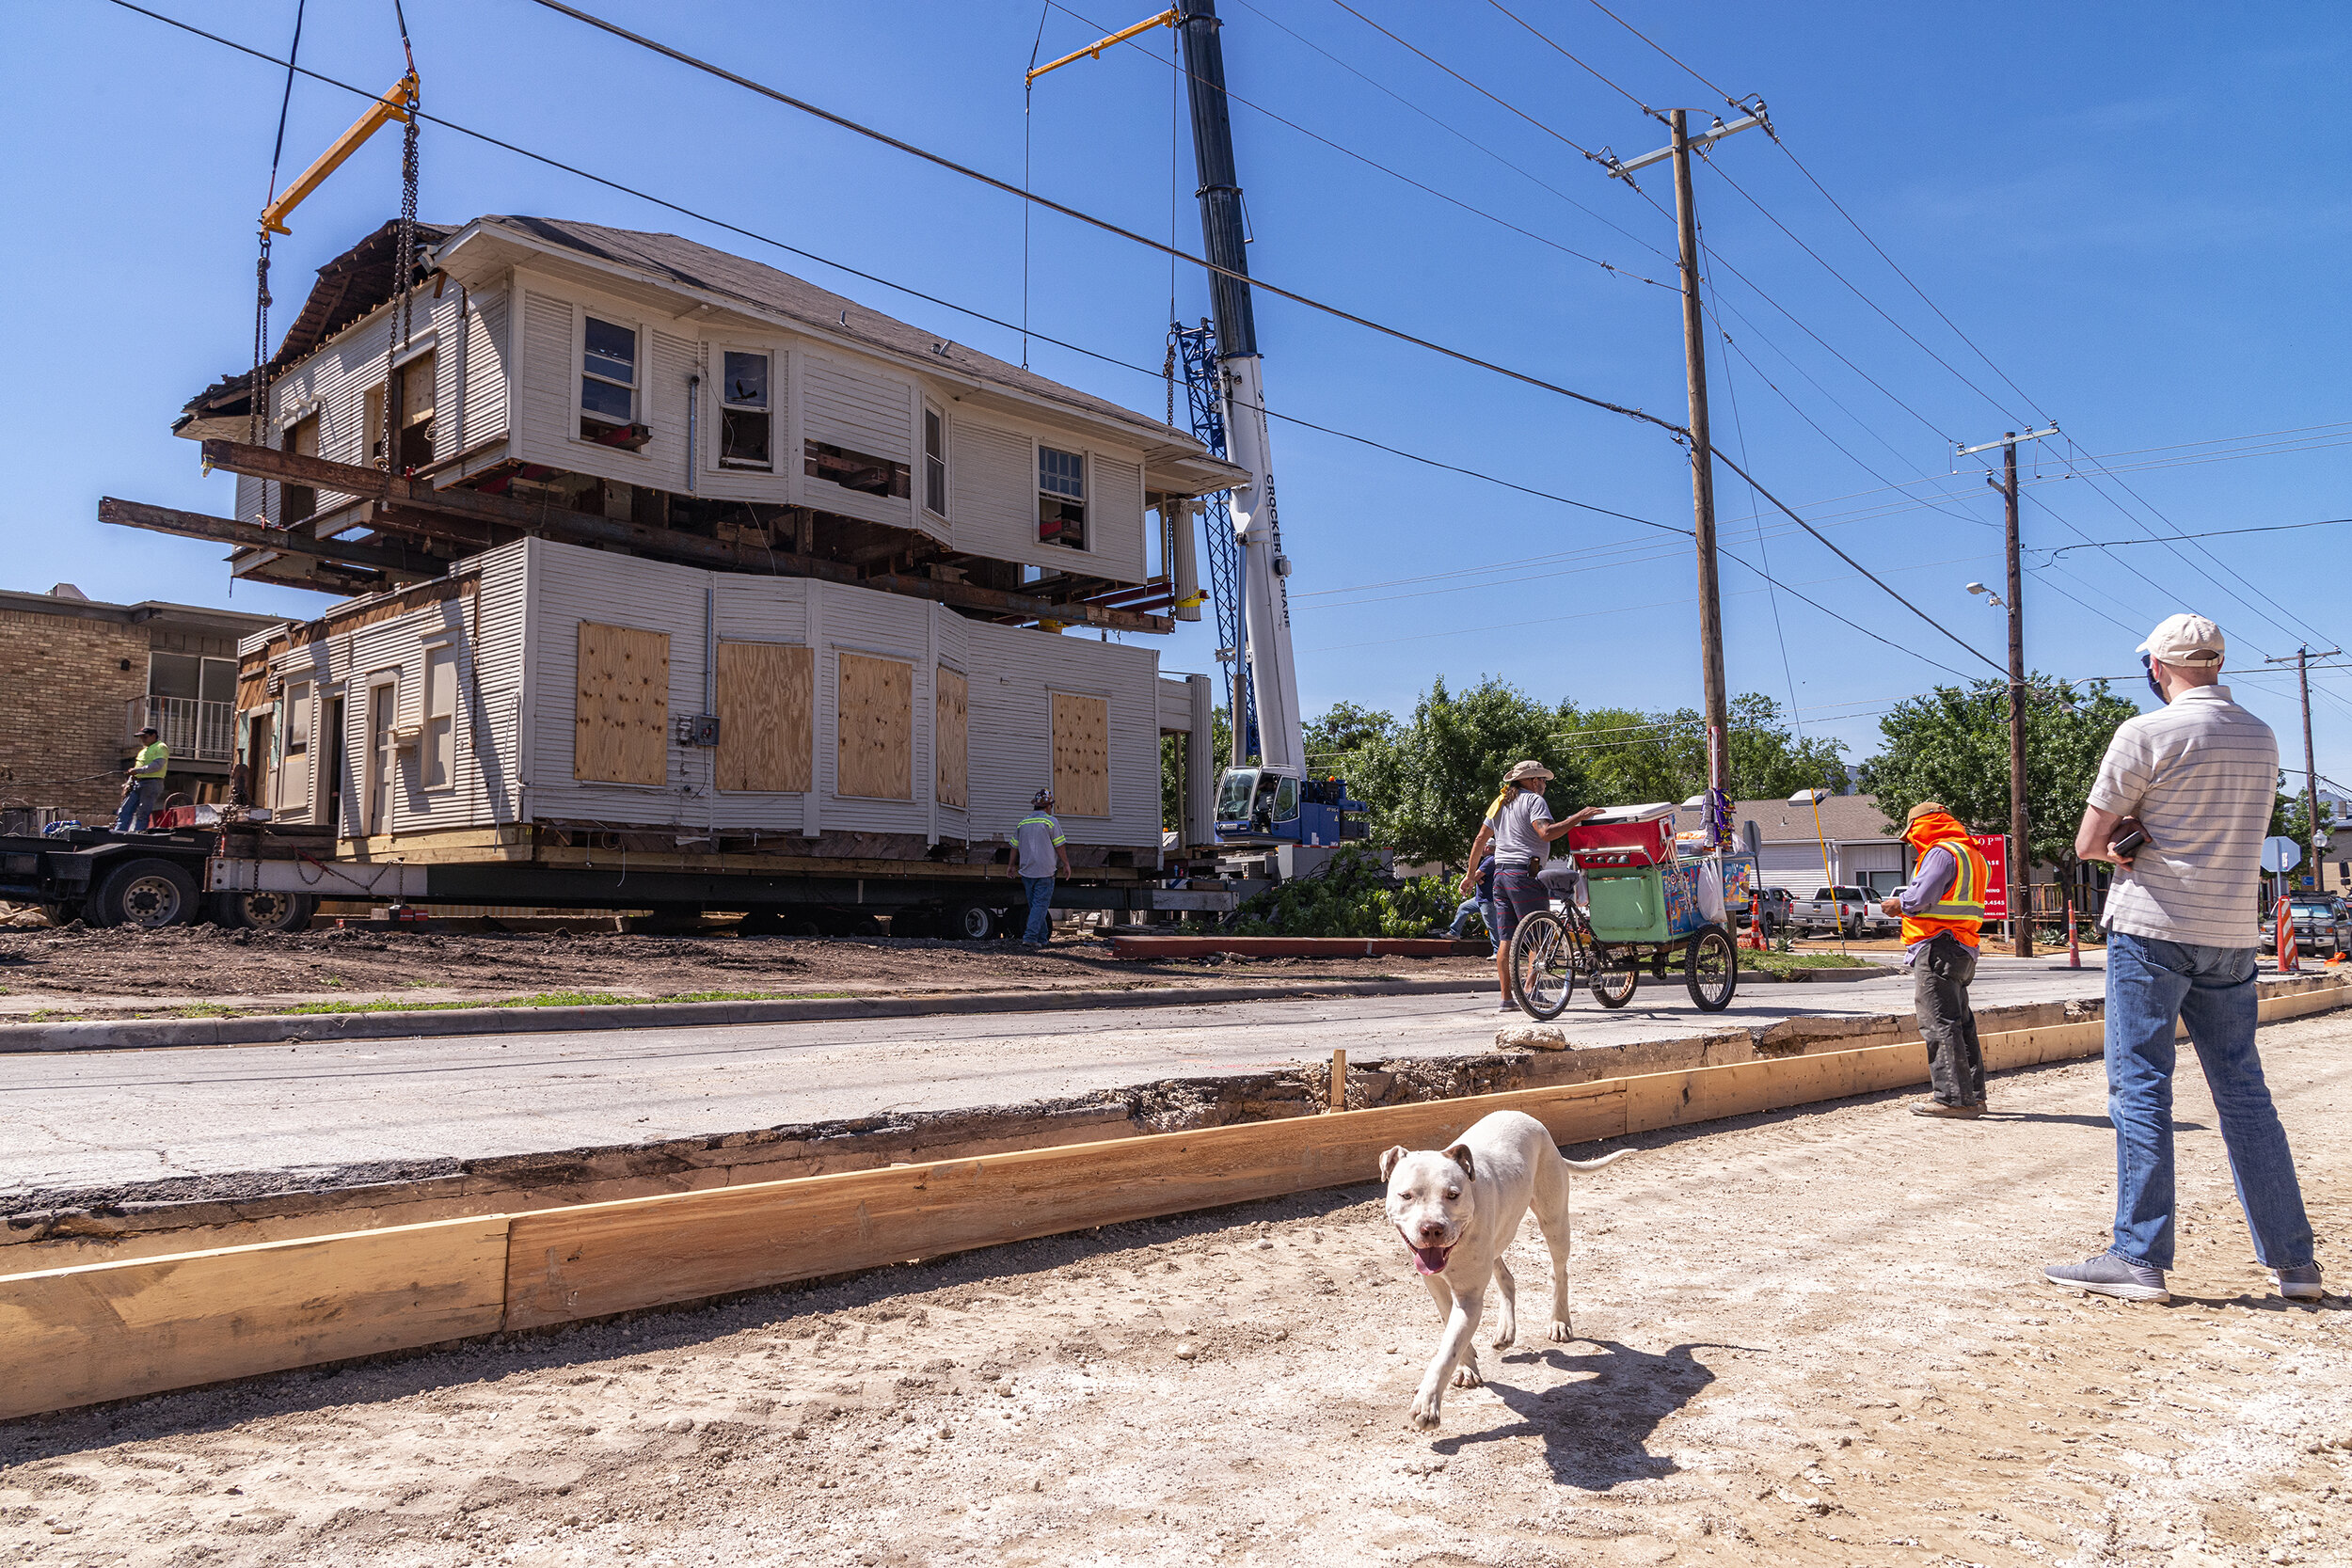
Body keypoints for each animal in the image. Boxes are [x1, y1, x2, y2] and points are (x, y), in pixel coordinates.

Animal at [1374, 1109, 1637, 1429]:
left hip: (1554, 1222)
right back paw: (1505, 1332)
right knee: (1507, 1278)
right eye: (1406, 1196)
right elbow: (1451, 1328)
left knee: (1559, 1272)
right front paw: (1466, 1364)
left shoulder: (1470, 1298)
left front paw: (1428, 1403)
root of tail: (1528, 1118)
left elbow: (1447, 1350)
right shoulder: (1437, 1286)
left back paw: (1559, 1321)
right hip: (1497, 1241)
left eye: (1453, 1195)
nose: (1432, 1228)